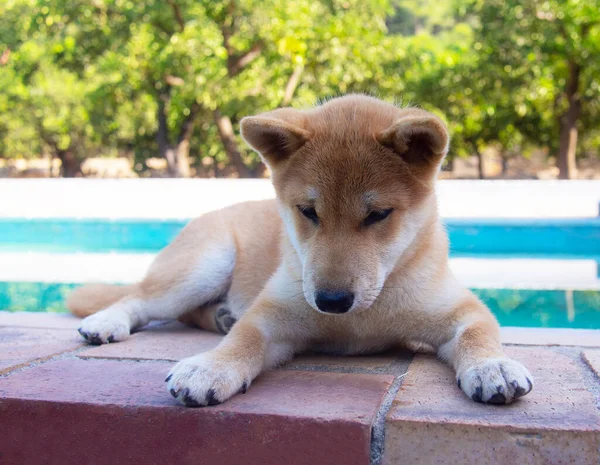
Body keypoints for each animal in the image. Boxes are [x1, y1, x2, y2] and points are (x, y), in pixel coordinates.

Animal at [69, 94, 536, 406]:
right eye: (308, 211)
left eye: (378, 214)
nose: (332, 301)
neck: (360, 319)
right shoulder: (274, 315)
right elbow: (244, 337)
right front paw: (210, 366)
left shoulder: (458, 308)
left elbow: (478, 332)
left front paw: (492, 365)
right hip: (203, 266)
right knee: (139, 299)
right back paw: (107, 322)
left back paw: (219, 315)